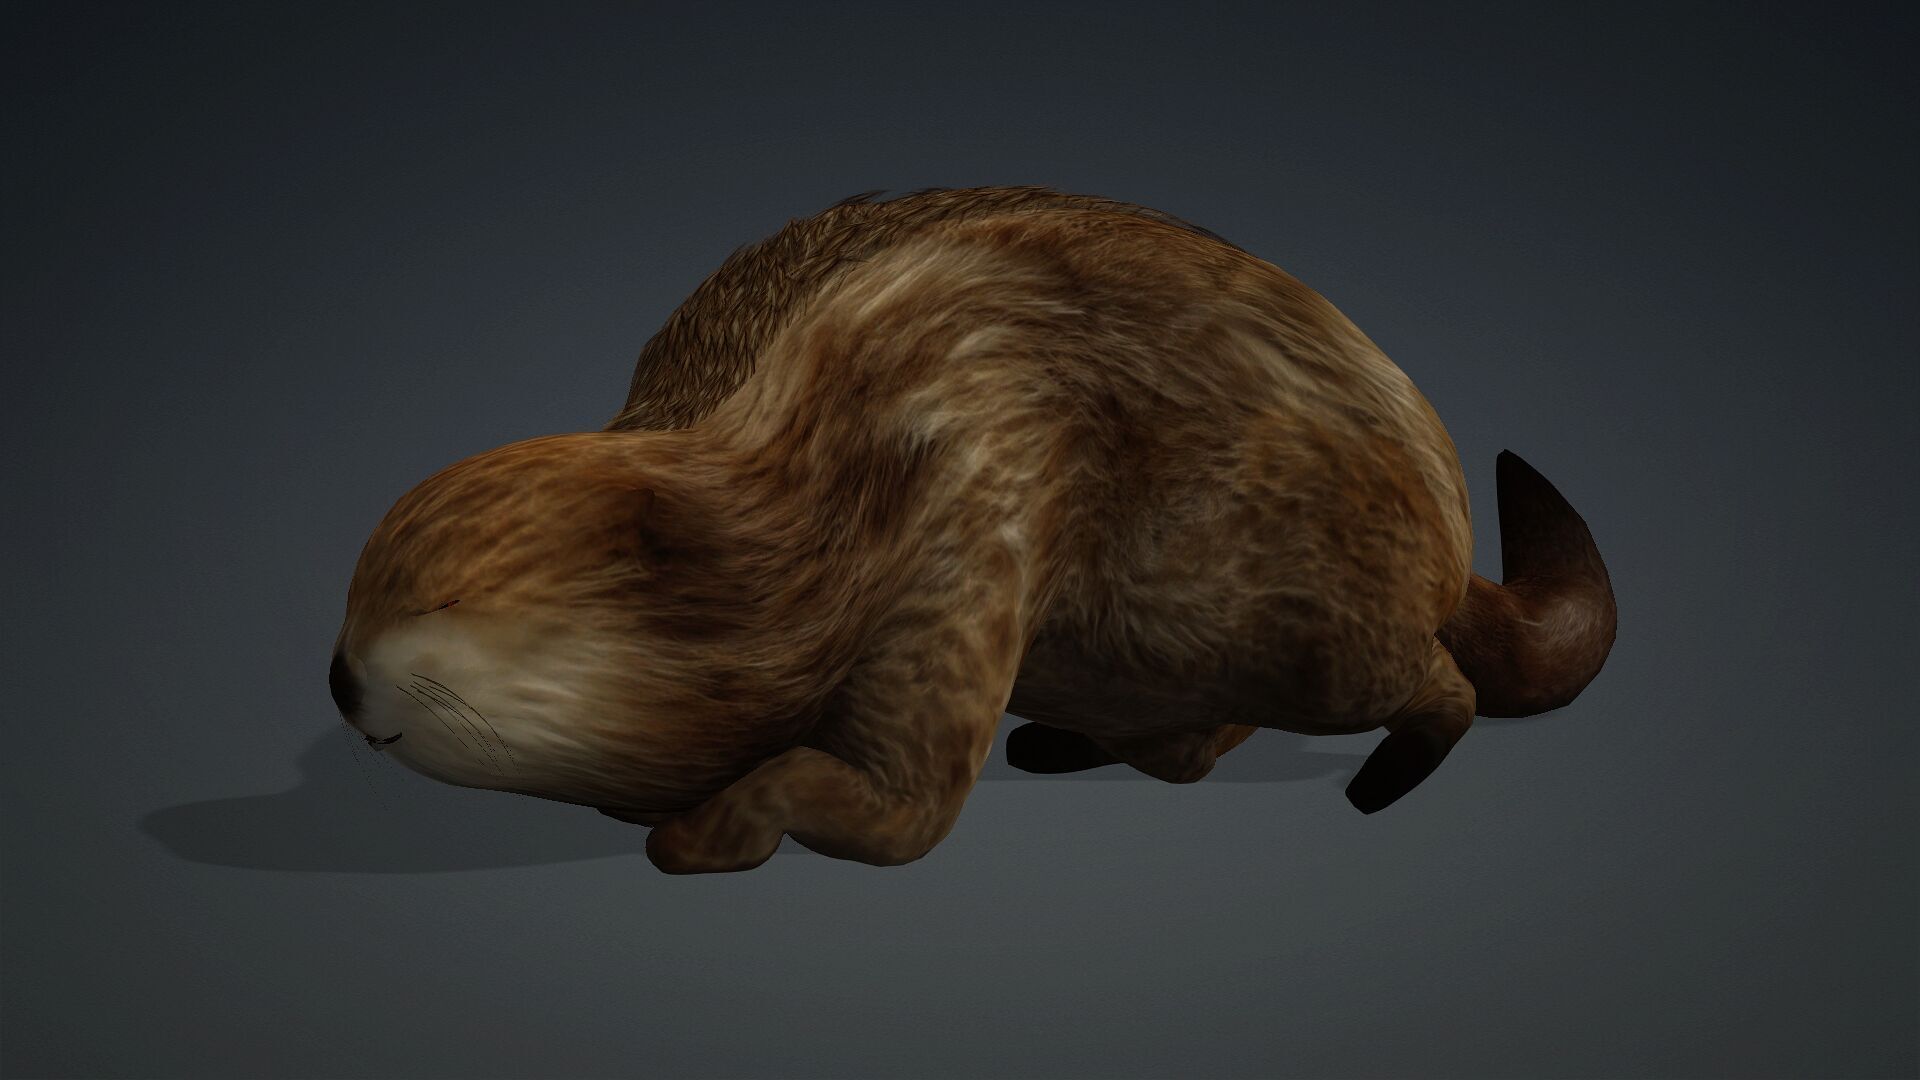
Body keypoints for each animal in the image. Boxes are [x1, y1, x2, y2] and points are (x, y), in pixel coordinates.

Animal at [329, 186, 1616, 874]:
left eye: (442, 596)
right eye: (361, 581)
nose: (339, 678)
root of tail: (1455, 537)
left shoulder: (971, 492)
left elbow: (904, 808)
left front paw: (711, 830)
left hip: (1299, 618)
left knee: (1434, 683)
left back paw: (1384, 782)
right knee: (1194, 746)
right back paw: (1071, 743)